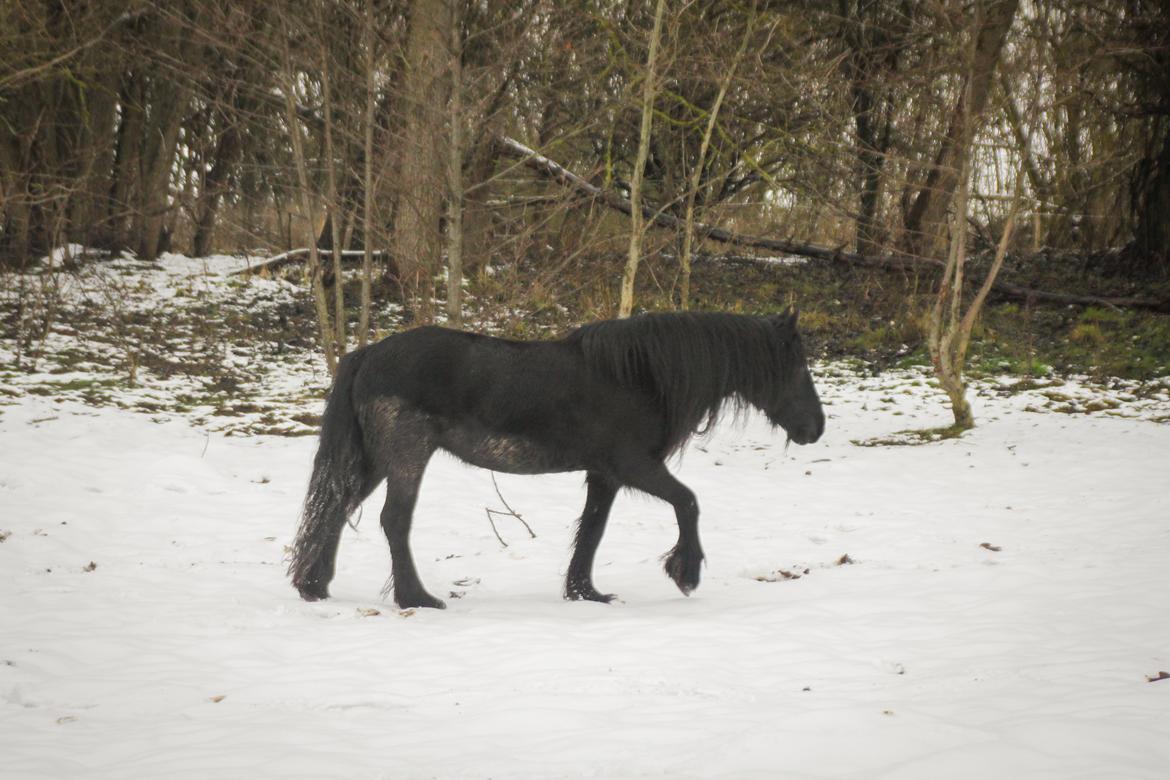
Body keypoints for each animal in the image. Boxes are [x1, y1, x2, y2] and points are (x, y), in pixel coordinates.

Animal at [288, 309, 825, 609]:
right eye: (796, 367)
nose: (815, 428)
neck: (641, 377)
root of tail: (368, 353)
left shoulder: (605, 475)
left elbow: (591, 531)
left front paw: (585, 592)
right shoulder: (634, 466)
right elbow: (688, 503)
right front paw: (686, 572)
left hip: (374, 460)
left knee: (335, 509)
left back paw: (315, 586)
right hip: (405, 453)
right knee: (393, 520)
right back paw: (416, 598)